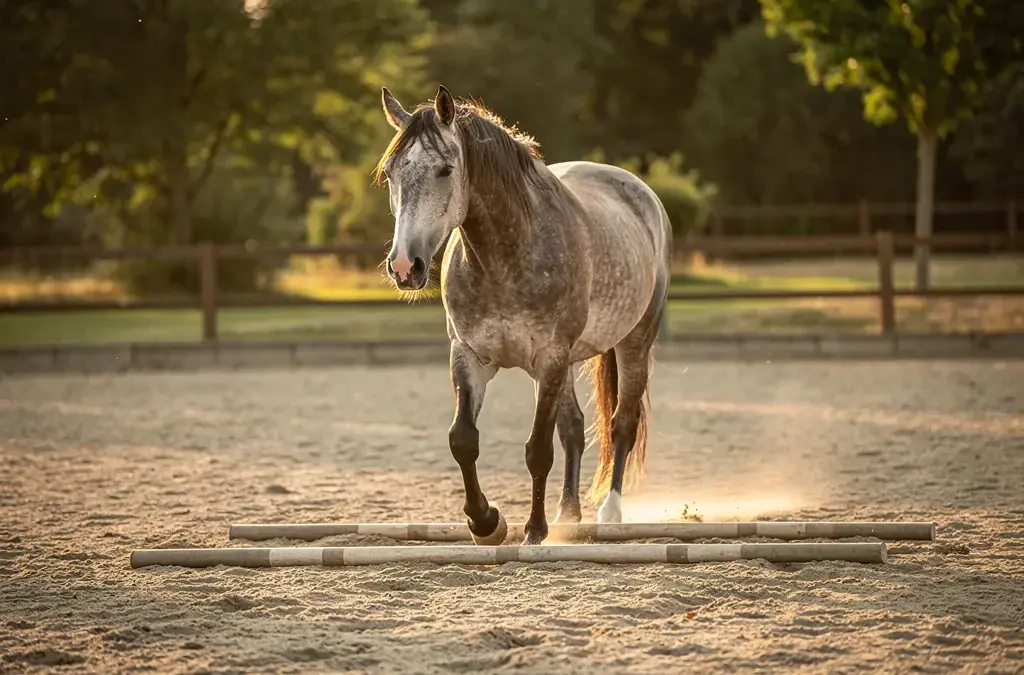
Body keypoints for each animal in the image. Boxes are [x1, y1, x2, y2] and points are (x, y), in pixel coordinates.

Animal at [375, 85, 672, 546]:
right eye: (390, 173)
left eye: (445, 170)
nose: (406, 266)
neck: (506, 257)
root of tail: (641, 193)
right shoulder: (470, 357)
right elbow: (463, 440)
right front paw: (486, 523)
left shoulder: (548, 358)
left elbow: (538, 449)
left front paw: (533, 530)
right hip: (569, 361)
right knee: (574, 427)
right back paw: (568, 515)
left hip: (634, 342)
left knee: (621, 423)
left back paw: (609, 513)